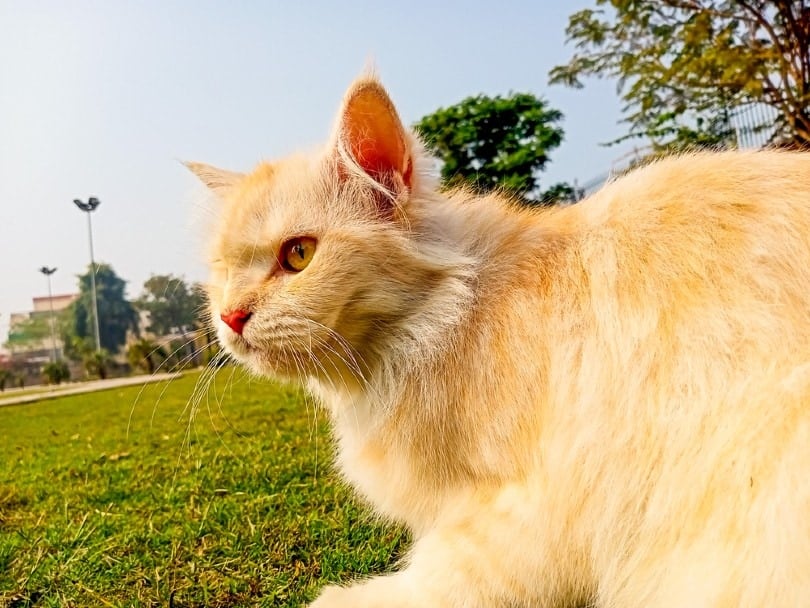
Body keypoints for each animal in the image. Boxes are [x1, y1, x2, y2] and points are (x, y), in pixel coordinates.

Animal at [189, 77, 808, 608]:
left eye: (298, 255)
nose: (230, 316)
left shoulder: (537, 506)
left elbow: (435, 578)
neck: (450, 317)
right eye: (221, 272)